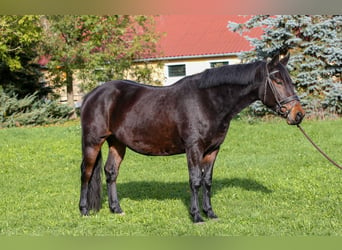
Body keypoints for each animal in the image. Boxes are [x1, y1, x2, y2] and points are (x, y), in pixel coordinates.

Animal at [79, 54, 304, 223]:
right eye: (277, 81)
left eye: (289, 80)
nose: (298, 114)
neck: (208, 101)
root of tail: (92, 95)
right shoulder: (194, 148)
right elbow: (195, 180)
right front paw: (196, 216)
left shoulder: (212, 149)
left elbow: (207, 181)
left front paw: (210, 213)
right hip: (93, 142)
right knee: (86, 172)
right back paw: (84, 210)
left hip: (117, 143)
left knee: (111, 172)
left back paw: (116, 209)